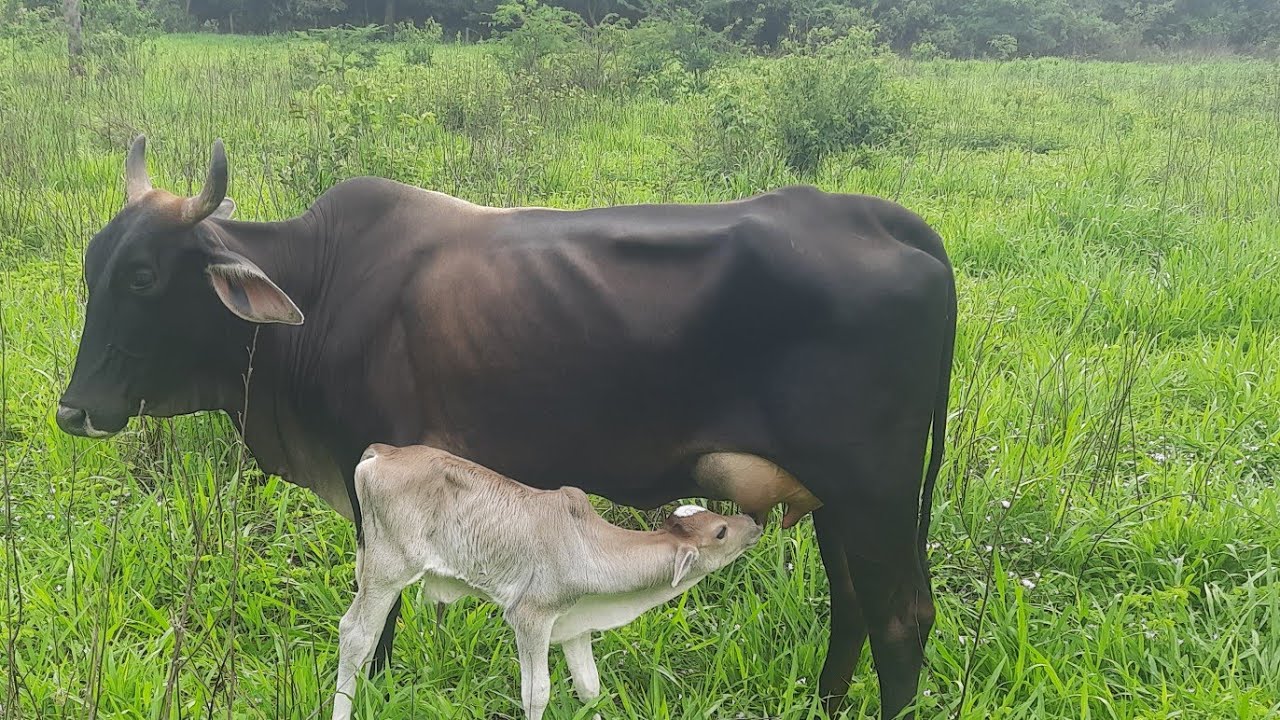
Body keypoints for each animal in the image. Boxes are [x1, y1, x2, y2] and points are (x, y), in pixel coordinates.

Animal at [56, 136, 956, 720]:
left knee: (900, 618)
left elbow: (378, 617)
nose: (74, 409)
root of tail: (887, 221)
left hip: (873, 490)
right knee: (853, 606)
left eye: (143, 275)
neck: (320, 289)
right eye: (94, 269)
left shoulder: (374, 479)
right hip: (838, 501)